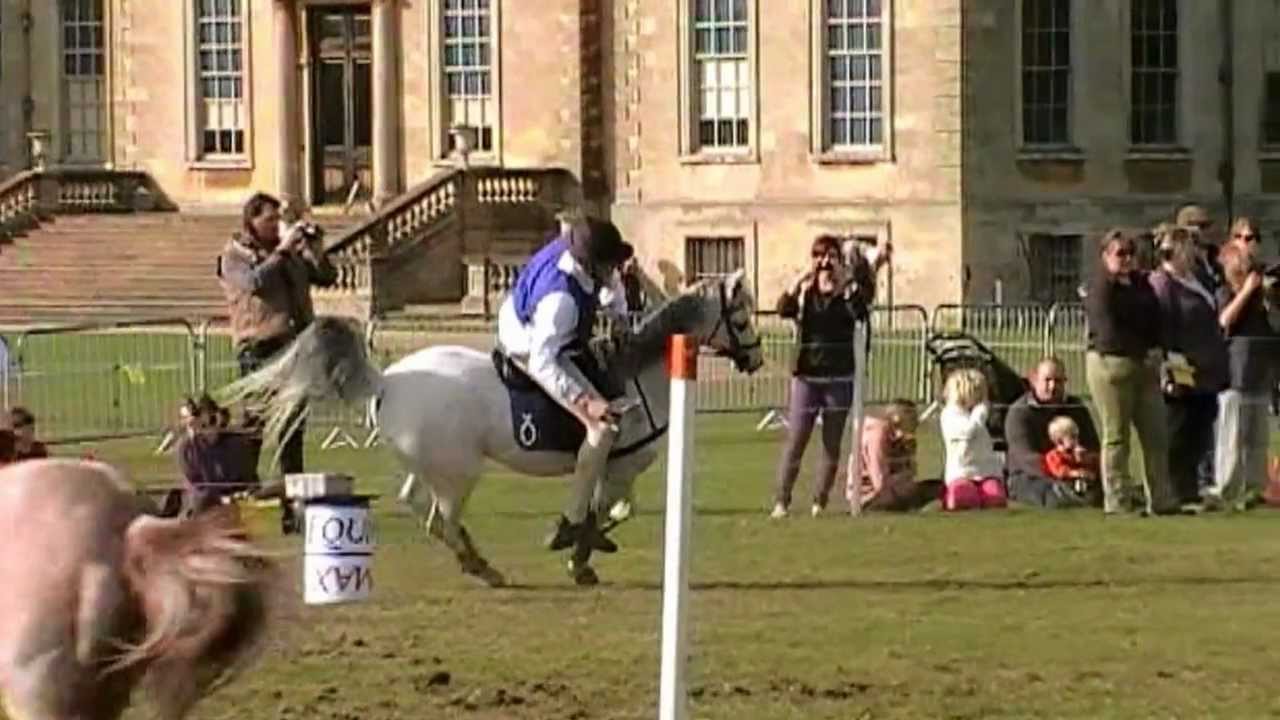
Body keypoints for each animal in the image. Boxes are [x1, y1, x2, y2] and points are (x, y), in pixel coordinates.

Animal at [220, 269, 765, 586]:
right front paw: (576, 549)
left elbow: (608, 510)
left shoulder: (618, 470)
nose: (756, 359)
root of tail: (388, 380)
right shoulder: (618, 464)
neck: (635, 372)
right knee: (441, 517)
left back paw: (473, 557)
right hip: (461, 473)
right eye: (740, 314)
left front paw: (589, 546)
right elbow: (608, 508)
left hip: (434, 467)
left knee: (418, 505)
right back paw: (480, 565)